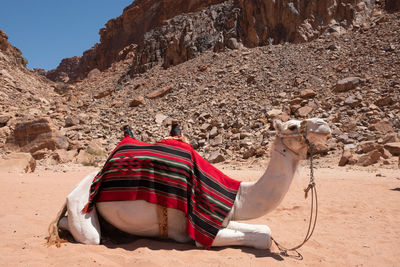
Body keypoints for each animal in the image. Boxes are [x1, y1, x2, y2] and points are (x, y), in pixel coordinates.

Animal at [47, 118, 332, 250]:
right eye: (293, 126)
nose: (324, 126)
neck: (238, 195)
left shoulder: (223, 219)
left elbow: (265, 230)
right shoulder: (199, 231)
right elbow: (263, 238)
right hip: (82, 207)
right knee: (88, 235)